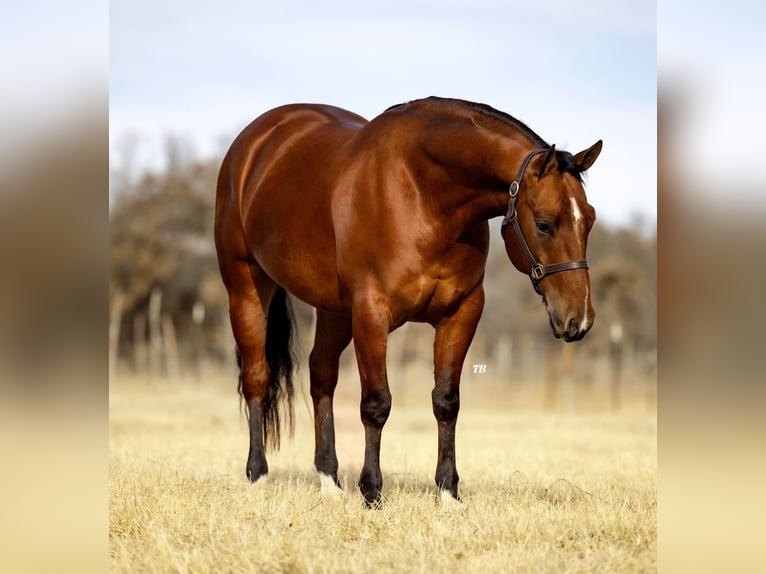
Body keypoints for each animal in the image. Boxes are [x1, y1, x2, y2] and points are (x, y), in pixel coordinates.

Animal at [213, 95, 604, 508]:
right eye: (545, 224)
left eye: (589, 219)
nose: (578, 319)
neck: (424, 194)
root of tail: (255, 141)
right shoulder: (372, 313)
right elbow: (376, 403)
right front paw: (372, 492)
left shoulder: (461, 313)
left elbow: (446, 401)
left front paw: (448, 493)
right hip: (246, 287)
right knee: (257, 378)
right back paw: (258, 476)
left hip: (334, 310)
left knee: (321, 377)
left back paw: (329, 480)